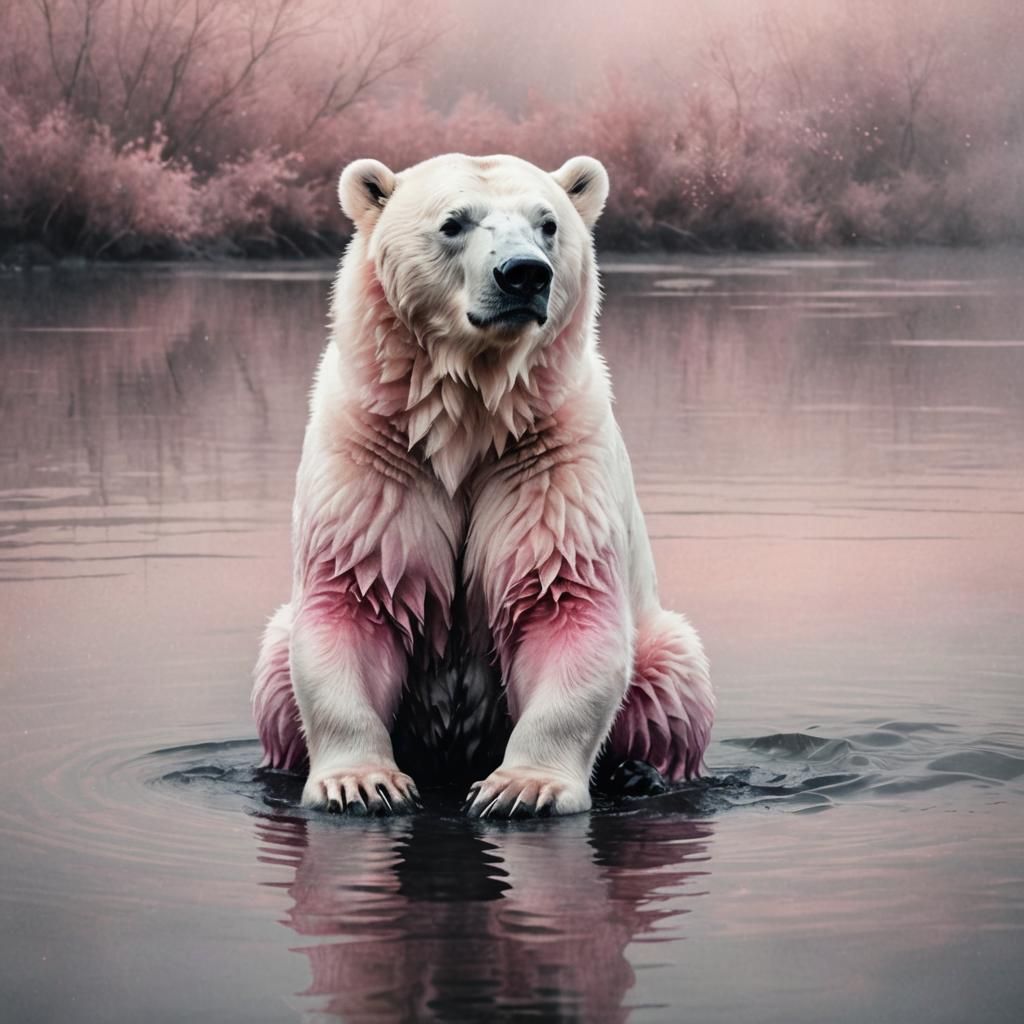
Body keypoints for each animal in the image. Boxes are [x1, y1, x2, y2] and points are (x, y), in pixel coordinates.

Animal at [252, 153, 714, 817]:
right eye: (453, 222)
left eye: (548, 223)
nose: (524, 274)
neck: (470, 418)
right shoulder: (377, 453)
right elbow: (351, 600)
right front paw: (363, 783)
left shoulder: (548, 456)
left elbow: (566, 604)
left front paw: (522, 788)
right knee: (276, 665)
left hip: (660, 645)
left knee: (673, 674)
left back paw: (640, 773)